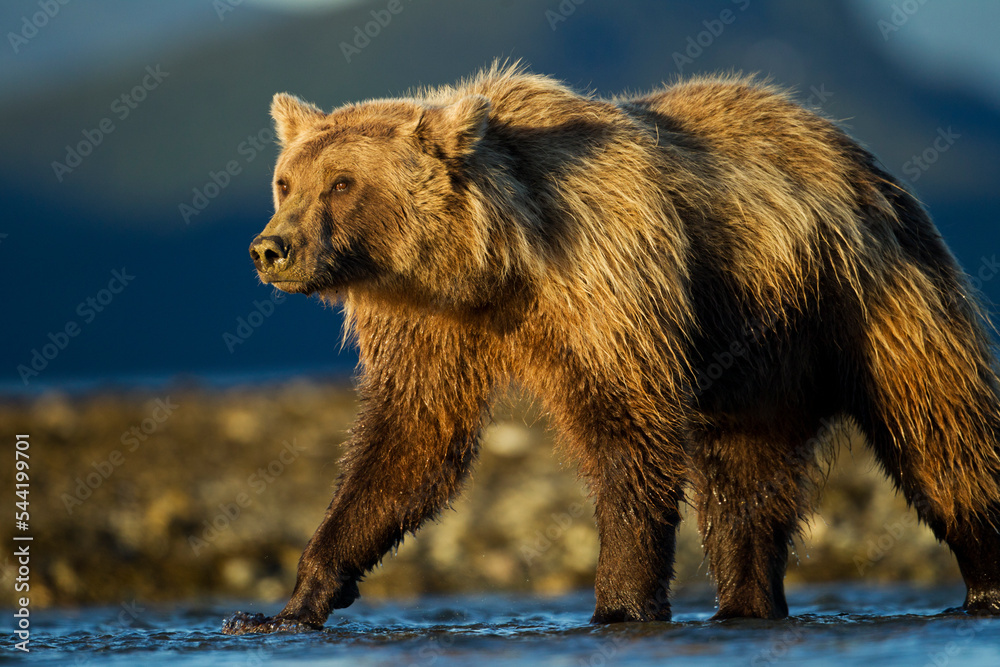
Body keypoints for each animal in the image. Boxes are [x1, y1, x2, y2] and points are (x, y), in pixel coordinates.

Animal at [223, 63, 1000, 634]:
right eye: (286, 181)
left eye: (342, 183)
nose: (271, 248)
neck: (495, 268)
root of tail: (860, 158)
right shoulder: (427, 323)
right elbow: (409, 443)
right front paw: (286, 606)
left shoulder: (606, 282)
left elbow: (628, 431)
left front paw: (619, 605)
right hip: (765, 363)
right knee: (747, 483)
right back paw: (746, 604)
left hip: (869, 299)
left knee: (940, 438)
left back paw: (983, 581)